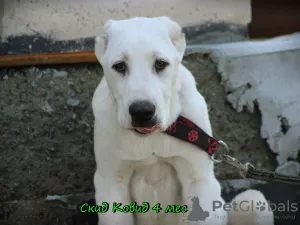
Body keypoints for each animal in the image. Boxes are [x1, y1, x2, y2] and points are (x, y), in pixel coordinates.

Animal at [92, 16, 274, 225]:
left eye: (160, 64)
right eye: (119, 66)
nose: (142, 111)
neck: (153, 137)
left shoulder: (199, 179)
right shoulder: (112, 182)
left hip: (253, 201)